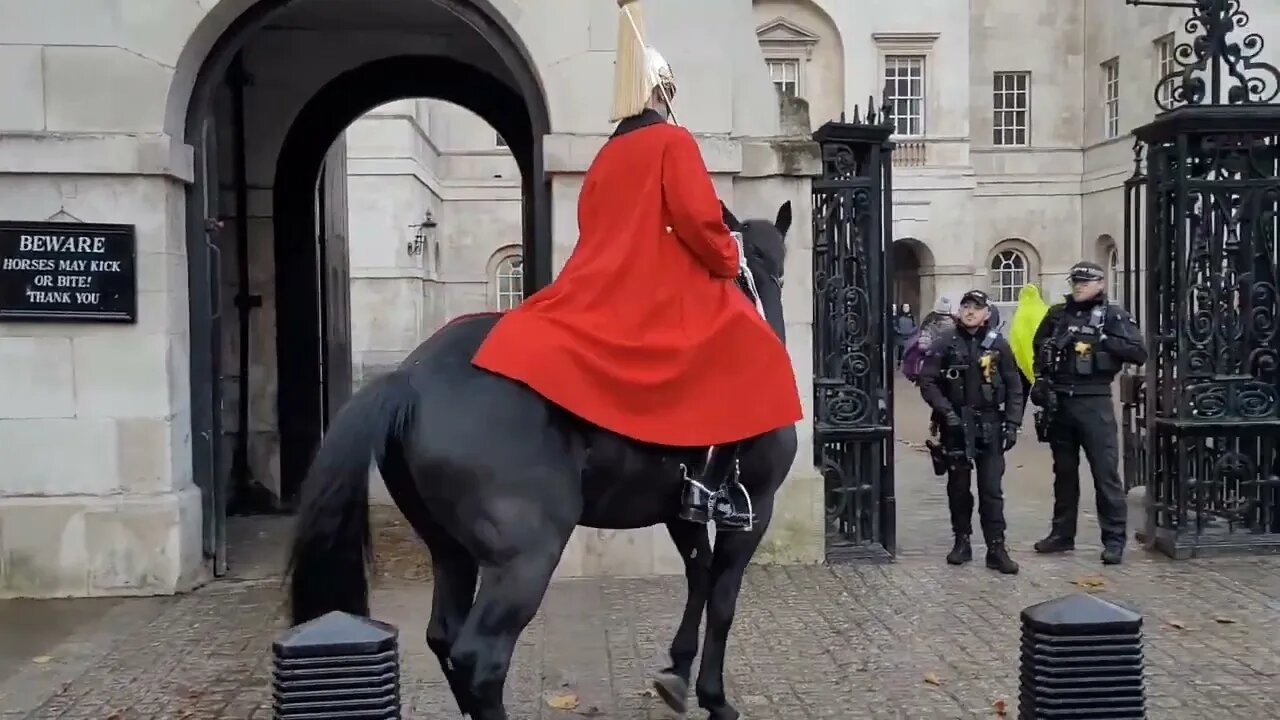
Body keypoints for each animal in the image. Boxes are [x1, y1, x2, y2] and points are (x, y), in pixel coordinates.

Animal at [290, 198, 798, 712]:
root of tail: (411, 377)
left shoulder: (682, 510)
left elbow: (700, 577)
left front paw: (677, 671)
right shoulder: (755, 506)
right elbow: (723, 596)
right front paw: (713, 696)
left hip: (451, 548)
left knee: (443, 636)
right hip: (526, 554)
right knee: (480, 656)